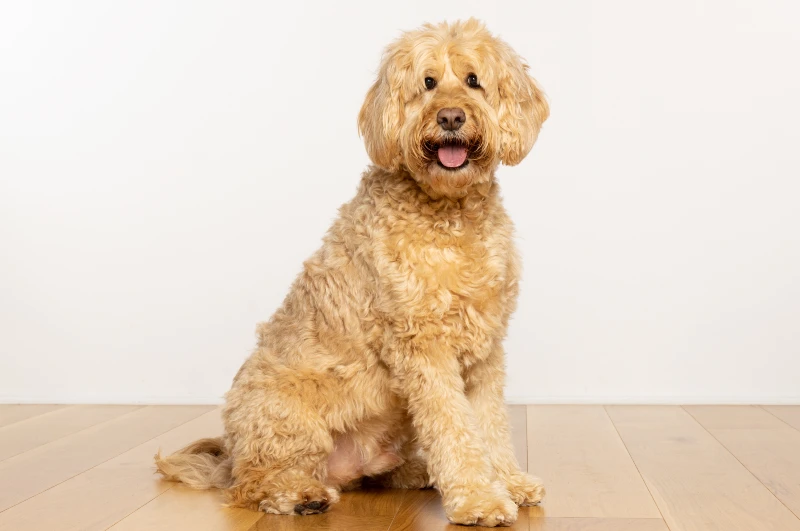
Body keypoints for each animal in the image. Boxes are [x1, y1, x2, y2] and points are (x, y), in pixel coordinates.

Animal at [154, 17, 548, 528]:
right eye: (427, 83)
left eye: (473, 80)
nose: (450, 118)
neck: (450, 214)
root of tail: (231, 453)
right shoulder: (422, 348)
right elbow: (455, 427)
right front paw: (479, 499)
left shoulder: (484, 349)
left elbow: (489, 424)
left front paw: (509, 482)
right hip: (285, 419)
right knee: (253, 483)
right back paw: (301, 495)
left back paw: (416, 471)